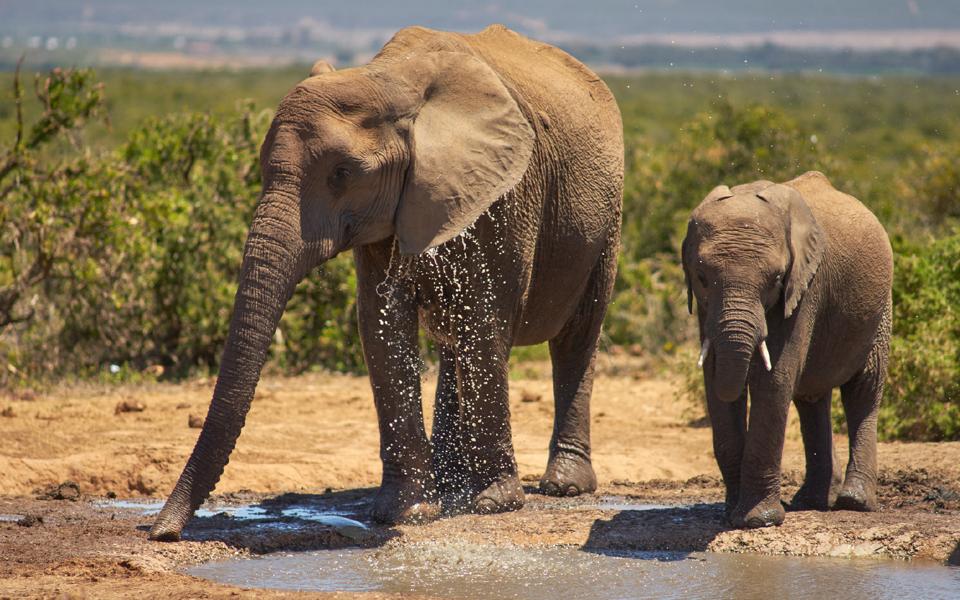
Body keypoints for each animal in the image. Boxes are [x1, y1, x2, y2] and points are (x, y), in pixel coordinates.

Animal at [150, 23, 624, 540]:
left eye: (343, 174)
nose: (162, 531)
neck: (390, 80)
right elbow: (382, 325)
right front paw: (408, 512)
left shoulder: (506, 195)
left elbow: (484, 320)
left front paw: (495, 504)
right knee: (453, 341)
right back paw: (451, 485)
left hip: (607, 216)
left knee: (577, 336)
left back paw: (564, 486)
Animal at [684, 171, 892, 528]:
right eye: (701, 277)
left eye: (777, 278)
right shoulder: (704, 309)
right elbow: (715, 382)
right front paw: (731, 514)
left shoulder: (804, 289)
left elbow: (774, 380)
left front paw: (758, 520)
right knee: (811, 398)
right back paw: (811, 501)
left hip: (880, 308)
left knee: (864, 389)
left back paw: (854, 501)